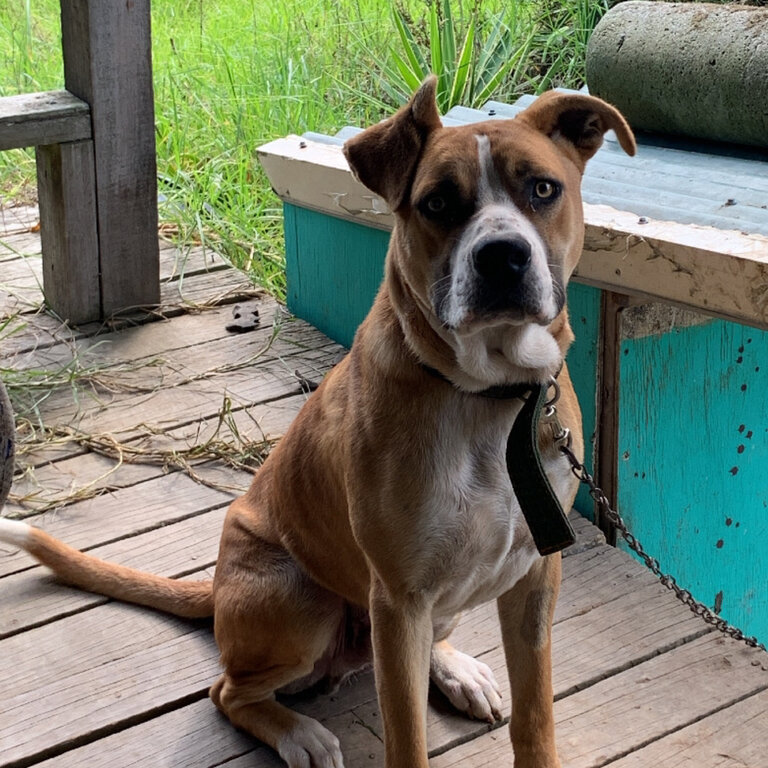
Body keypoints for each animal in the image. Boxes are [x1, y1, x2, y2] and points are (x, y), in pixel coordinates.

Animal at [1, 79, 636, 768]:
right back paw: (298, 734)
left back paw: (453, 669)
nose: (501, 257)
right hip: (302, 603)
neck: (487, 397)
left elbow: (535, 716)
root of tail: (217, 591)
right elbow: (407, 739)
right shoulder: (399, 599)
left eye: (543, 189)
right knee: (226, 691)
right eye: (438, 202)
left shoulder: (535, 579)